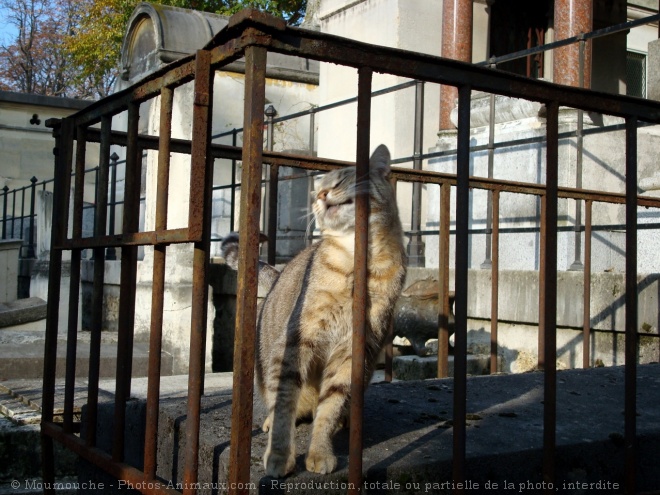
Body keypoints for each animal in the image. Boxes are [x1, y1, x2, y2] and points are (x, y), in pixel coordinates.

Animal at [224, 145, 404, 478]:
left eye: (341, 180)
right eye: (318, 189)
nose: (320, 195)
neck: (357, 264)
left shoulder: (352, 351)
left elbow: (330, 405)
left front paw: (320, 452)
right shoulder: (296, 342)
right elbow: (284, 406)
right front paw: (279, 457)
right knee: (278, 401)